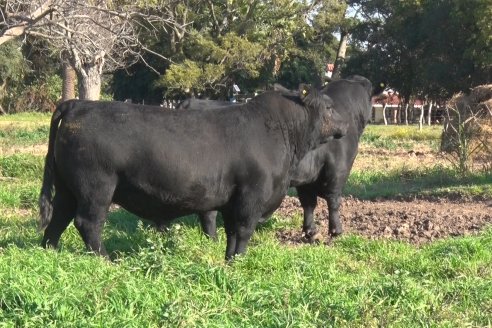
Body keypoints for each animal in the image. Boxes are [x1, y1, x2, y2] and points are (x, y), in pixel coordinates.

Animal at [37, 86, 346, 260]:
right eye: (330, 107)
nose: (344, 125)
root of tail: (78, 103)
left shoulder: (232, 200)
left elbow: (231, 233)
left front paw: (229, 260)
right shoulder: (252, 196)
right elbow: (244, 230)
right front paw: (240, 261)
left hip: (67, 189)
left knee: (58, 220)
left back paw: (48, 252)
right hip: (96, 187)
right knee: (88, 223)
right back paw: (106, 260)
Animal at [188, 76, 384, 241]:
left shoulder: (307, 178)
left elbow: (308, 204)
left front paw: (310, 231)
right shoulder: (338, 169)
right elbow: (333, 200)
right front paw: (336, 230)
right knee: (209, 213)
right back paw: (213, 239)